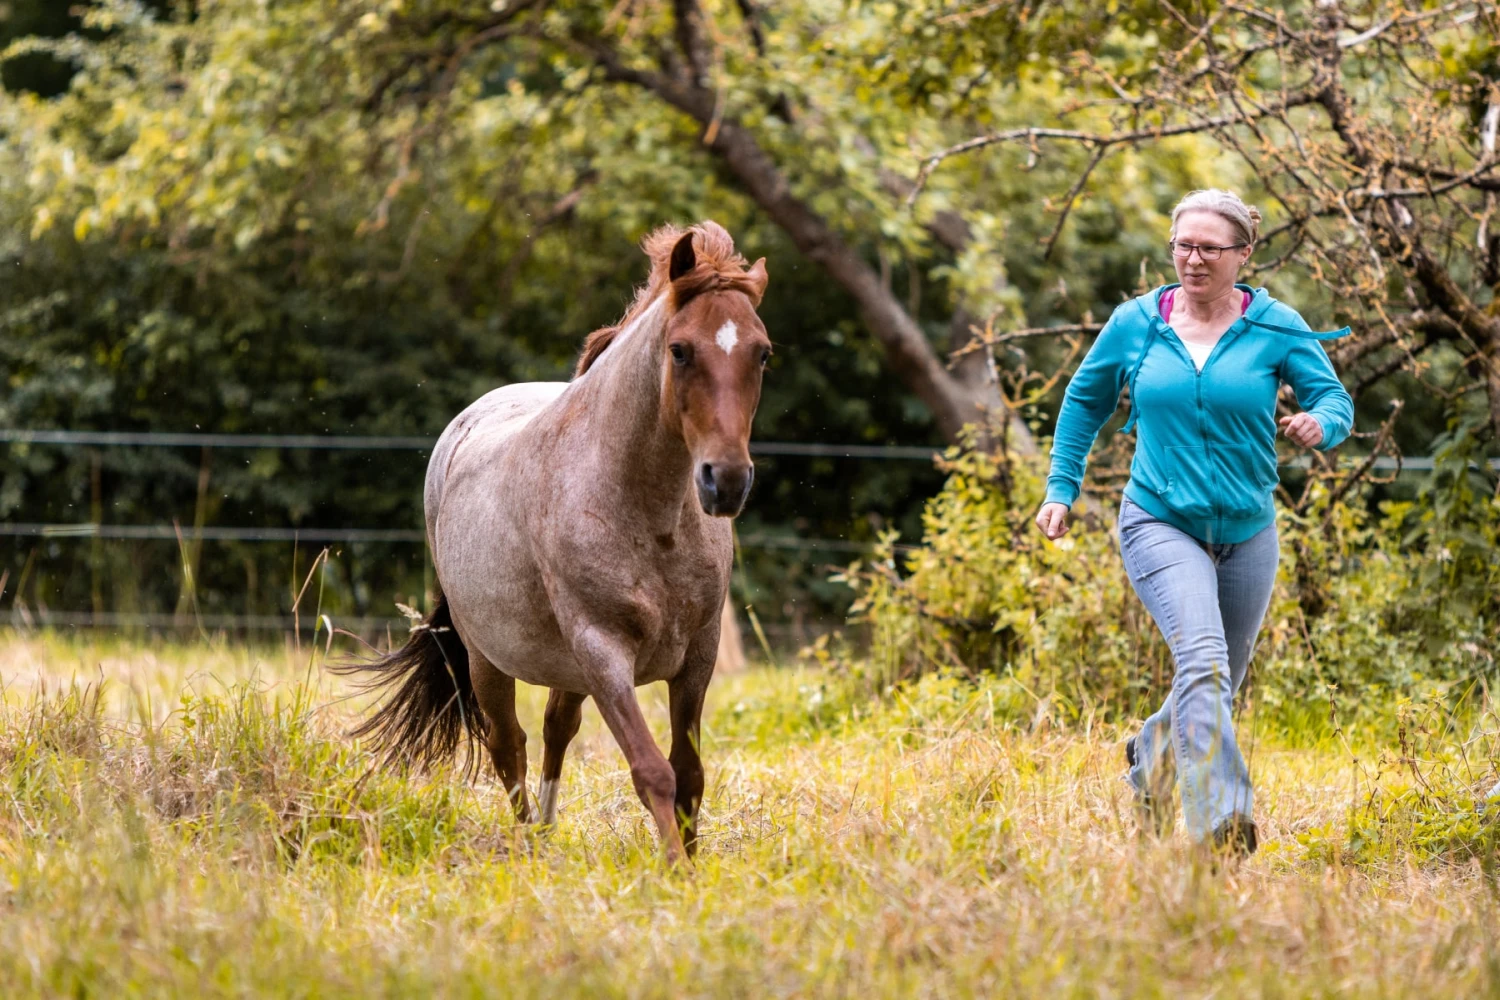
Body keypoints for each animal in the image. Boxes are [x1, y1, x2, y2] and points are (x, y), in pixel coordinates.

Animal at [334, 223, 768, 863]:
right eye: (680, 350)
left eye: (762, 352)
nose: (727, 480)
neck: (650, 515)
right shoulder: (602, 649)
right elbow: (653, 772)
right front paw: (676, 872)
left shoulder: (698, 654)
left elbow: (689, 773)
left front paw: (692, 864)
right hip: (487, 657)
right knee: (507, 742)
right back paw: (527, 846)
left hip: (567, 670)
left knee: (554, 729)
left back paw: (543, 830)